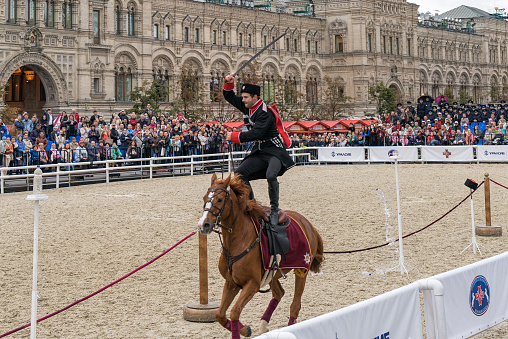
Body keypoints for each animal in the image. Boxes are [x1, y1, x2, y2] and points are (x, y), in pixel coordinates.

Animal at [196, 174, 324, 338]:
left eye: (219, 199)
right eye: (205, 197)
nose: (203, 225)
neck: (238, 242)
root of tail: (308, 224)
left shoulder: (252, 284)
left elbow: (235, 312)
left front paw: (243, 329)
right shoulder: (231, 283)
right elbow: (220, 314)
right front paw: (246, 329)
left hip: (302, 270)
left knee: (295, 305)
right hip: (272, 274)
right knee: (279, 293)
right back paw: (263, 325)